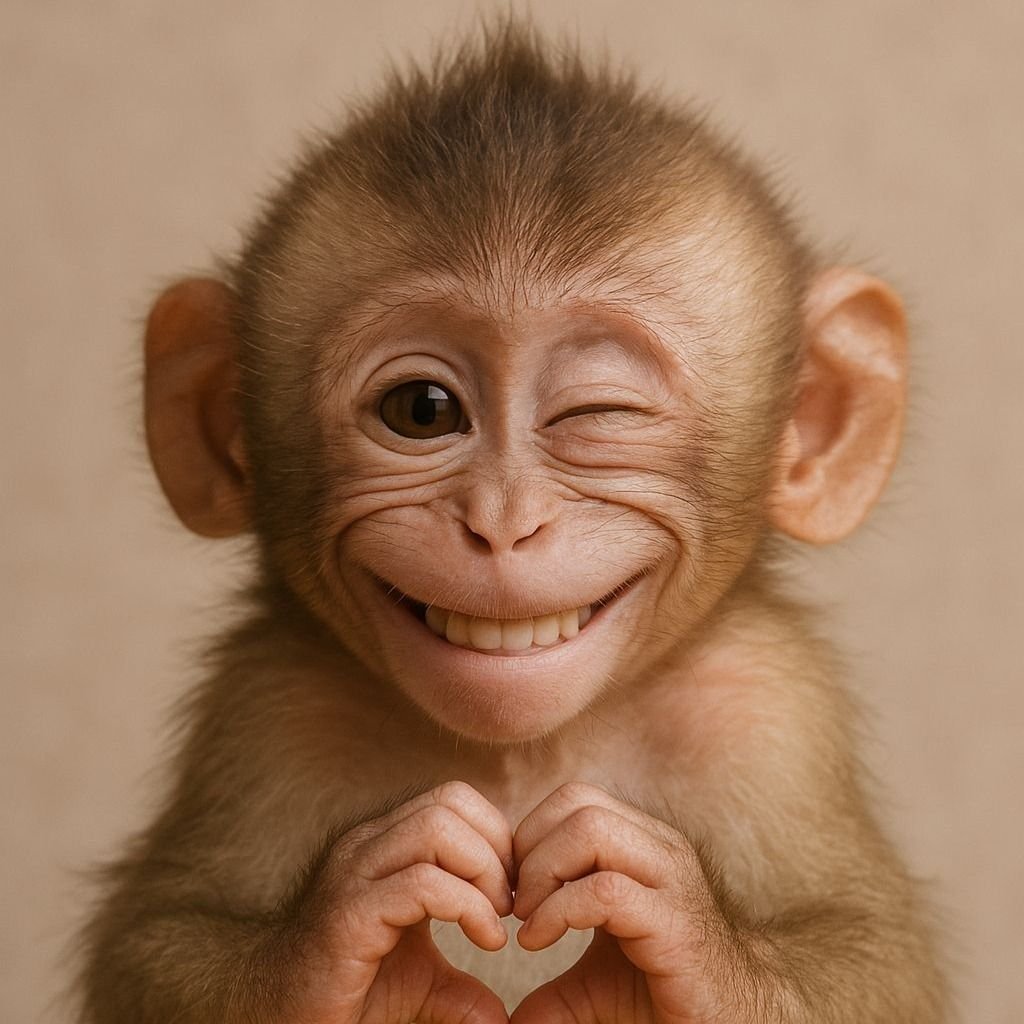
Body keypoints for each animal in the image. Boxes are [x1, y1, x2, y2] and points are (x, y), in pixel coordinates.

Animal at [75, 21, 949, 1024]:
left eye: (598, 412)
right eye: (421, 410)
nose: (502, 524)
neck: (525, 756)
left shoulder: (769, 703)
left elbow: (873, 950)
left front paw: (681, 933)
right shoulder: (267, 705)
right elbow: (156, 939)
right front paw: (344, 929)